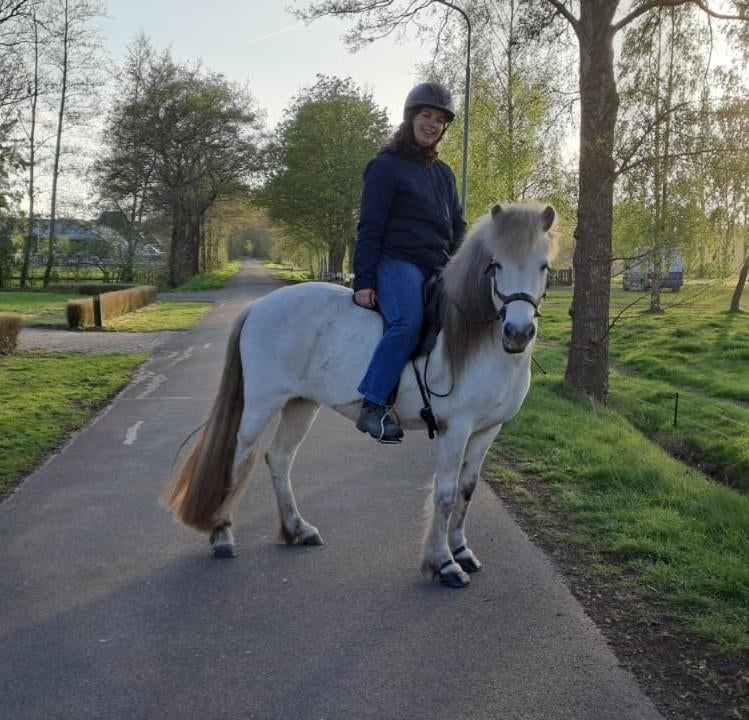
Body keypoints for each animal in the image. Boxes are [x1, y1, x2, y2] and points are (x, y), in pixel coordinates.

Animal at [164, 202, 557, 589]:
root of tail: (258, 306)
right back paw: (222, 535)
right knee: (238, 458)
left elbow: (467, 490)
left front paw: (461, 551)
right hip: (262, 404)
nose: (518, 333)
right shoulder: (455, 429)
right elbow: (445, 494)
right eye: (496, 265)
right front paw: (443, 564)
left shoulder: (487, 430)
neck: (477, 341)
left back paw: (298, 529)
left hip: (300, 404)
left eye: (543, 265)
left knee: (279, 459)